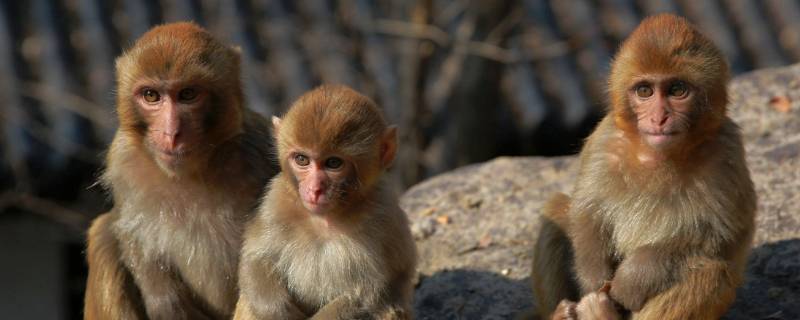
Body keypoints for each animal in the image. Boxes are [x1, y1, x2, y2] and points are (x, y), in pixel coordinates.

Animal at [83, 22, 278, 320]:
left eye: (188, 94)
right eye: (151, 95)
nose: (171, 133)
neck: (191, 173)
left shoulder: (260, 151)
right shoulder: (123, 160)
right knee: (104, 234)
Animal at [233, 85, 416, 320]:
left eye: (333, 163)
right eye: (302, 159)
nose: (314, 190)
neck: (325, 219)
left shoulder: (383, 219)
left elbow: (367, 296)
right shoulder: (275, 201)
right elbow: (256, 260)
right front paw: (277, 310)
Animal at [524, 14, 756, 320]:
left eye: (677, 90)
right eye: (645, 91)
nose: (659, 118)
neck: (657, 155)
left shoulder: (726, 154)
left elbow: (717, 234)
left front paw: (631, 280)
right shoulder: (605, 141)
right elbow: (587, 211)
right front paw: (593, 277)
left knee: (709, 273)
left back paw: (602, 312)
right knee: (557, 211)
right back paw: (563, 313)